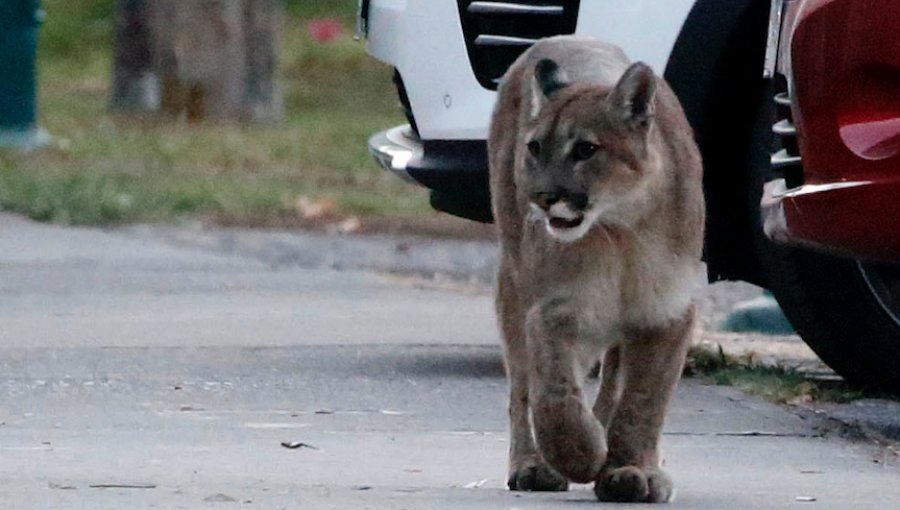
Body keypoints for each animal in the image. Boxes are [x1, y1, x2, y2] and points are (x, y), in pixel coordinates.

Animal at [488, 35, 708, 502]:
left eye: (585, 150)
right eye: (534, 148)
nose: (541, 198)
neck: (621, 229)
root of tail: (564, 38)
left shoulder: (667, 313)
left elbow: (643, 400)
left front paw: (629, 468)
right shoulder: (556, 311)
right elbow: (554, 394)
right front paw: (580, 455)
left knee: (612, 383)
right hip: (514, 283)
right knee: (521, 385)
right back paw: (532, 465)